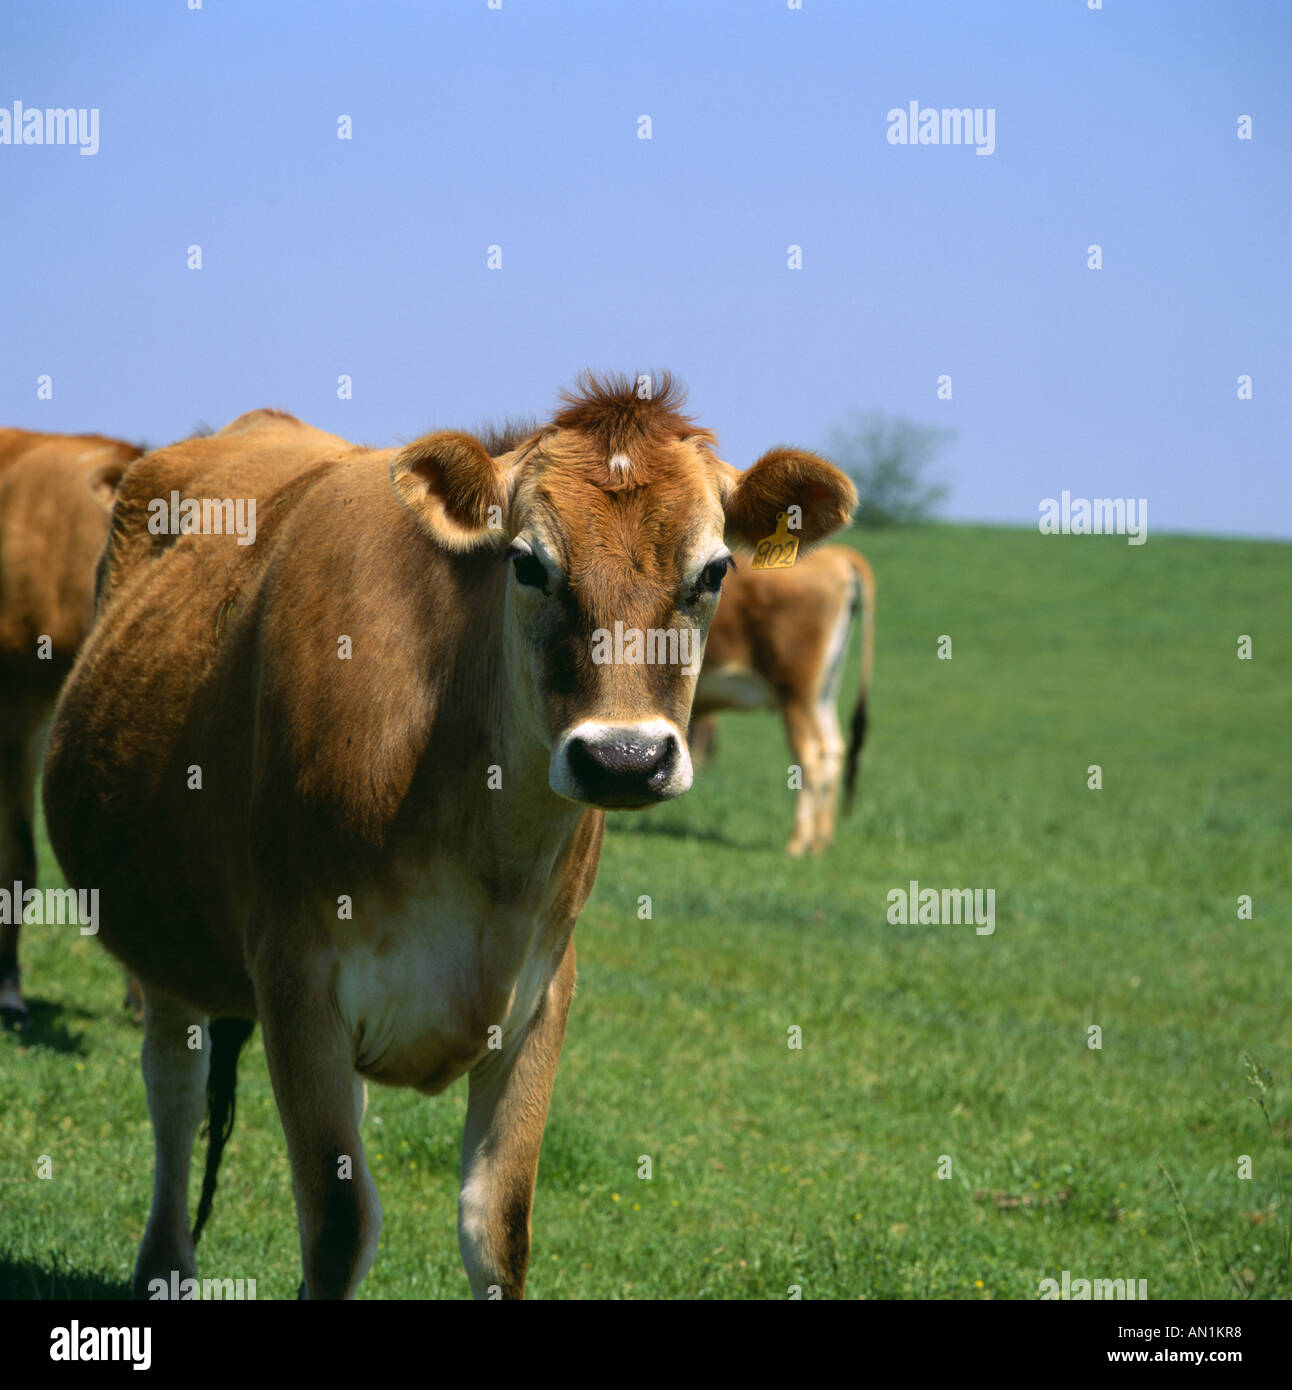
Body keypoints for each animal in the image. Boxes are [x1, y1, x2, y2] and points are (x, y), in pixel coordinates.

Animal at [42, 375, 856, 1299]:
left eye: (715, 570)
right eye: (528, 563)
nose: (624, 758)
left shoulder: (542, 994)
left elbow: (497, 1226)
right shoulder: (295, 981)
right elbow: (338, 1229)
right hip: (163, 948)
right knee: (174, 1095)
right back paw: (164, 1265)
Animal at [689, 544, 875, 855]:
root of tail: (837, 554)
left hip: (797, 694)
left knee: (810, 757)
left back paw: (799, 841)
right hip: (822, 693)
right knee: (833, 749)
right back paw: (821, 840)